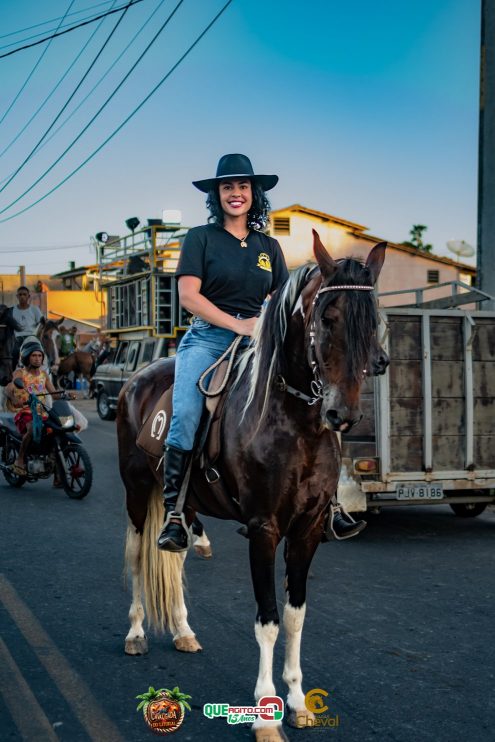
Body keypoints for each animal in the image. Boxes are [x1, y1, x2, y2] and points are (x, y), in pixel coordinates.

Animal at [116, 232, 388, 742]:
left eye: (374, 318)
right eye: (328, 317)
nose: (342, 414)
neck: (293, 421)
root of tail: (135, 380)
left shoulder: (307, 530)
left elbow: (296, 616)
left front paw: (298, 701)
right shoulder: (263, 529)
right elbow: (268, 620)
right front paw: (265, 713)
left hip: (183, 504)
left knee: (175, 554)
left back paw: (182, 631)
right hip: (137, 491)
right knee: (138, 556)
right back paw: (137, 634)